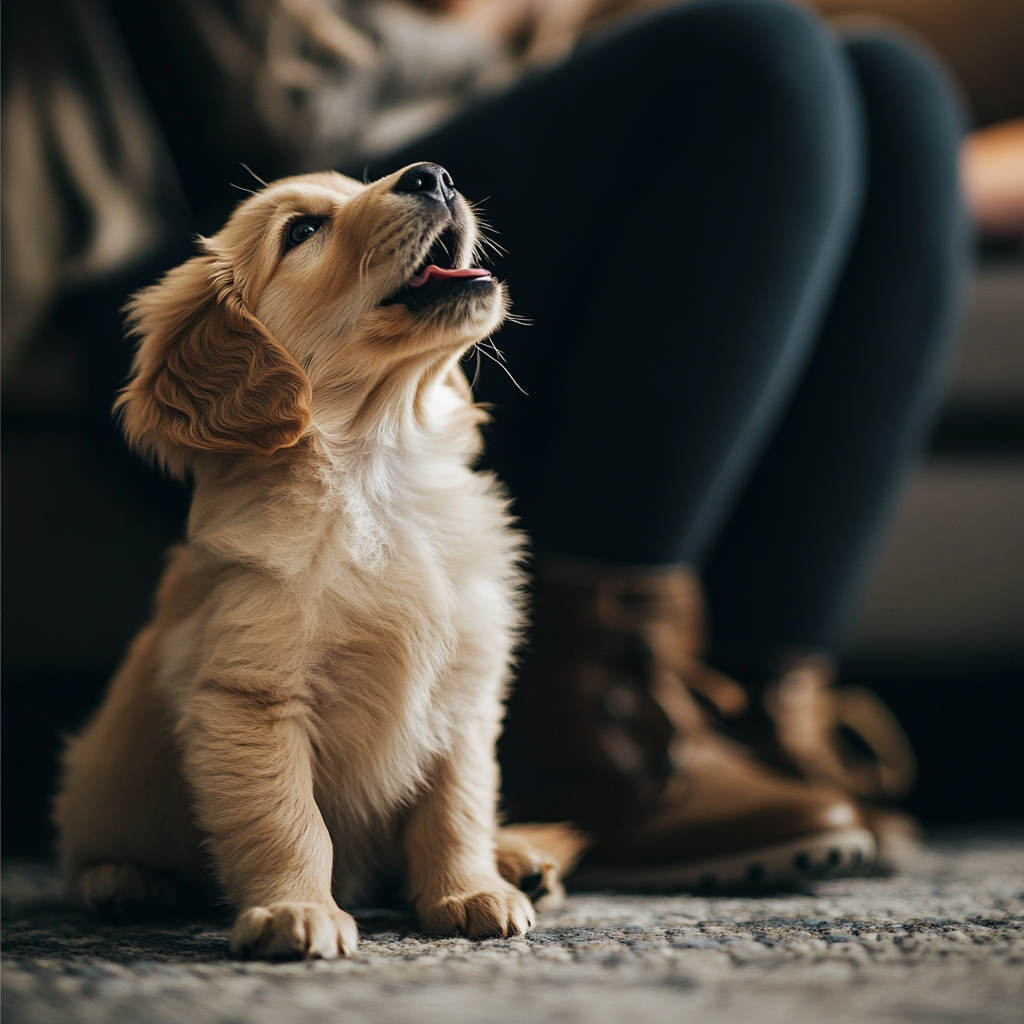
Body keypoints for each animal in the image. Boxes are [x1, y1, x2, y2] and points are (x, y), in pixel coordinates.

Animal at [56, 163, 585, 954]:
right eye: (303, 230)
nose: (434, 174)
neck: (377, 473)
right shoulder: (251, 699)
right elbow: (288, 821)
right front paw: (296, 911)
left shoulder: (465, 696)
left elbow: (457, 808)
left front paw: (470, 892)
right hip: (98, 790)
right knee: (85, 853)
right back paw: (120, 882)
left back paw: (517, 858)